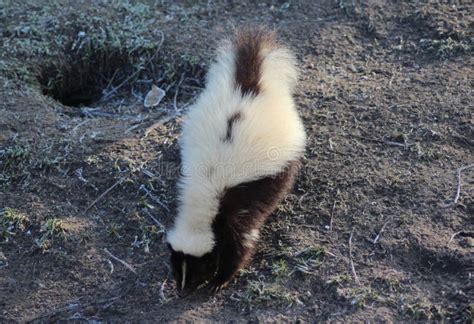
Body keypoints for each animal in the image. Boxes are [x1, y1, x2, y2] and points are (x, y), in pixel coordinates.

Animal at [167, 27, 308, 296]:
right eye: (177, 266)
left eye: (200, 267)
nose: (183, 289)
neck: (207, 189)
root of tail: (249, 85)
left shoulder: (236, 212)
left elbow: (240, 246)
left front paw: (220, 280)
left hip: (286, 157)